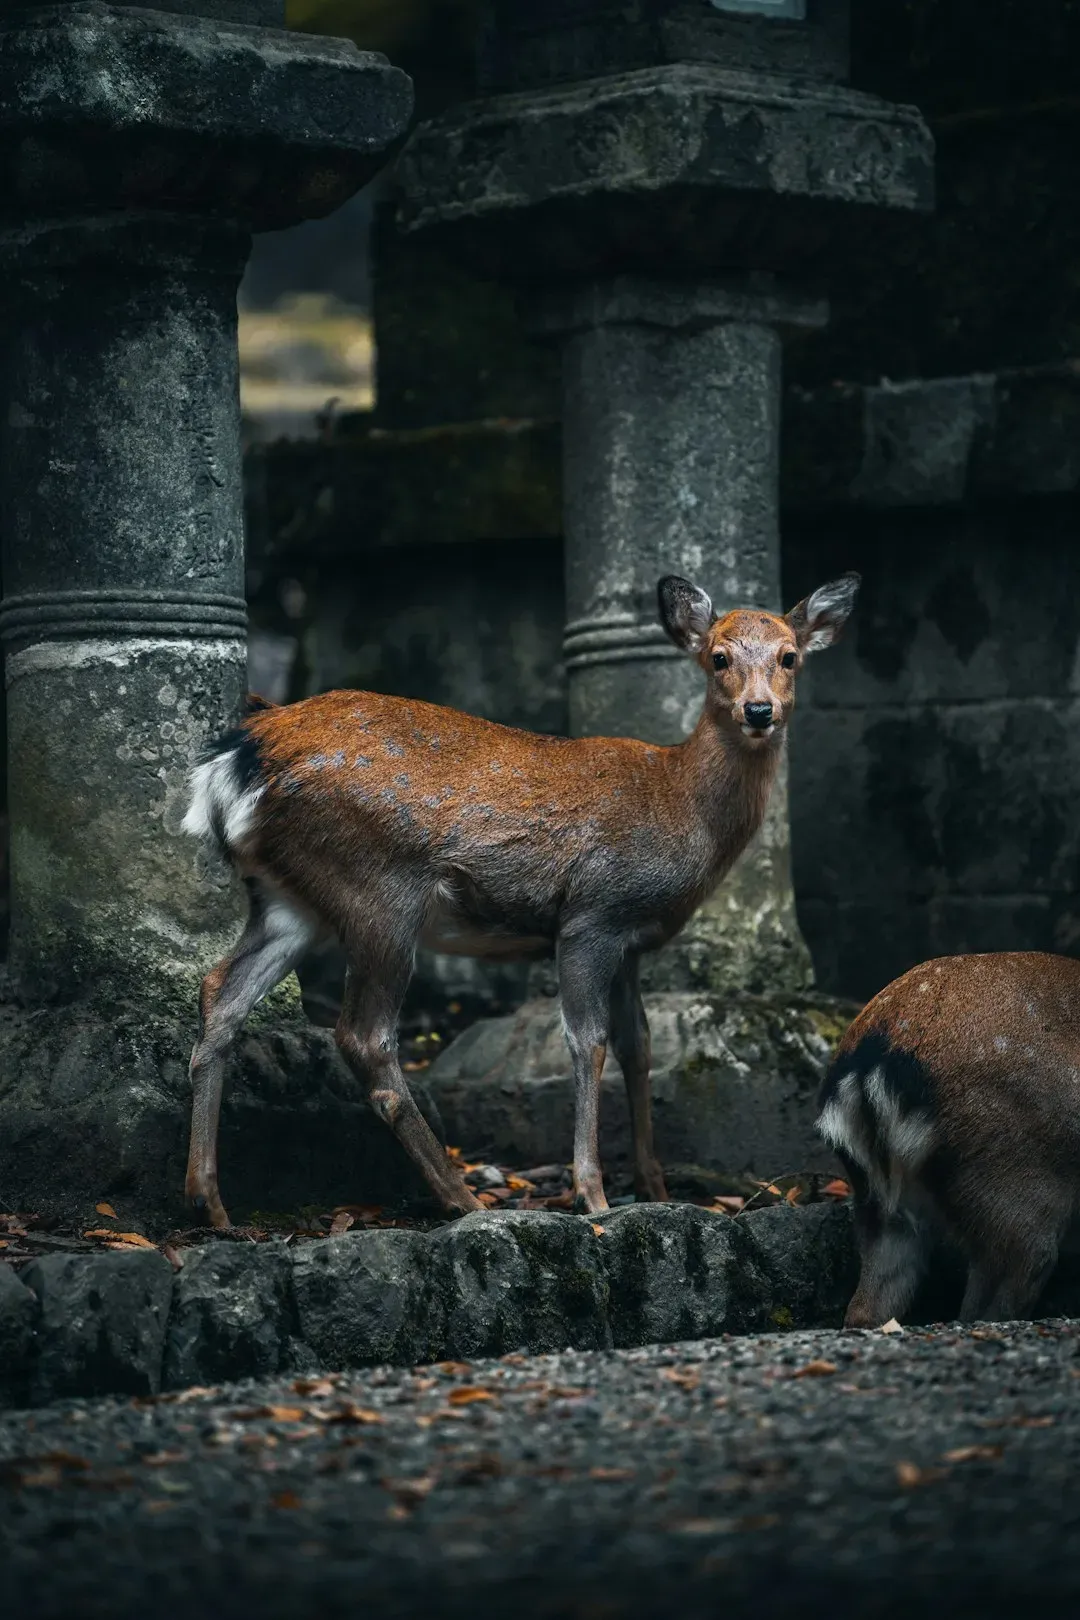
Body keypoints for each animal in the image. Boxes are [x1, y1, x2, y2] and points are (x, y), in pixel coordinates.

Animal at [181, 569, 860, 1229]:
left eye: (790, 656)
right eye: (718, 656)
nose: (759, 709)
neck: (681, 803)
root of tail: (241, 756)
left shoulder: (632, 942)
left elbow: (640, 1047)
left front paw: (655, 1185)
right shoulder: (592, 914)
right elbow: (588, 1043)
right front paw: (593, 1196)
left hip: (288, 899)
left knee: (222, 992)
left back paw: (209, 1201)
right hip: (377, 888)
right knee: (364, 1036)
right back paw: (463, 1197)